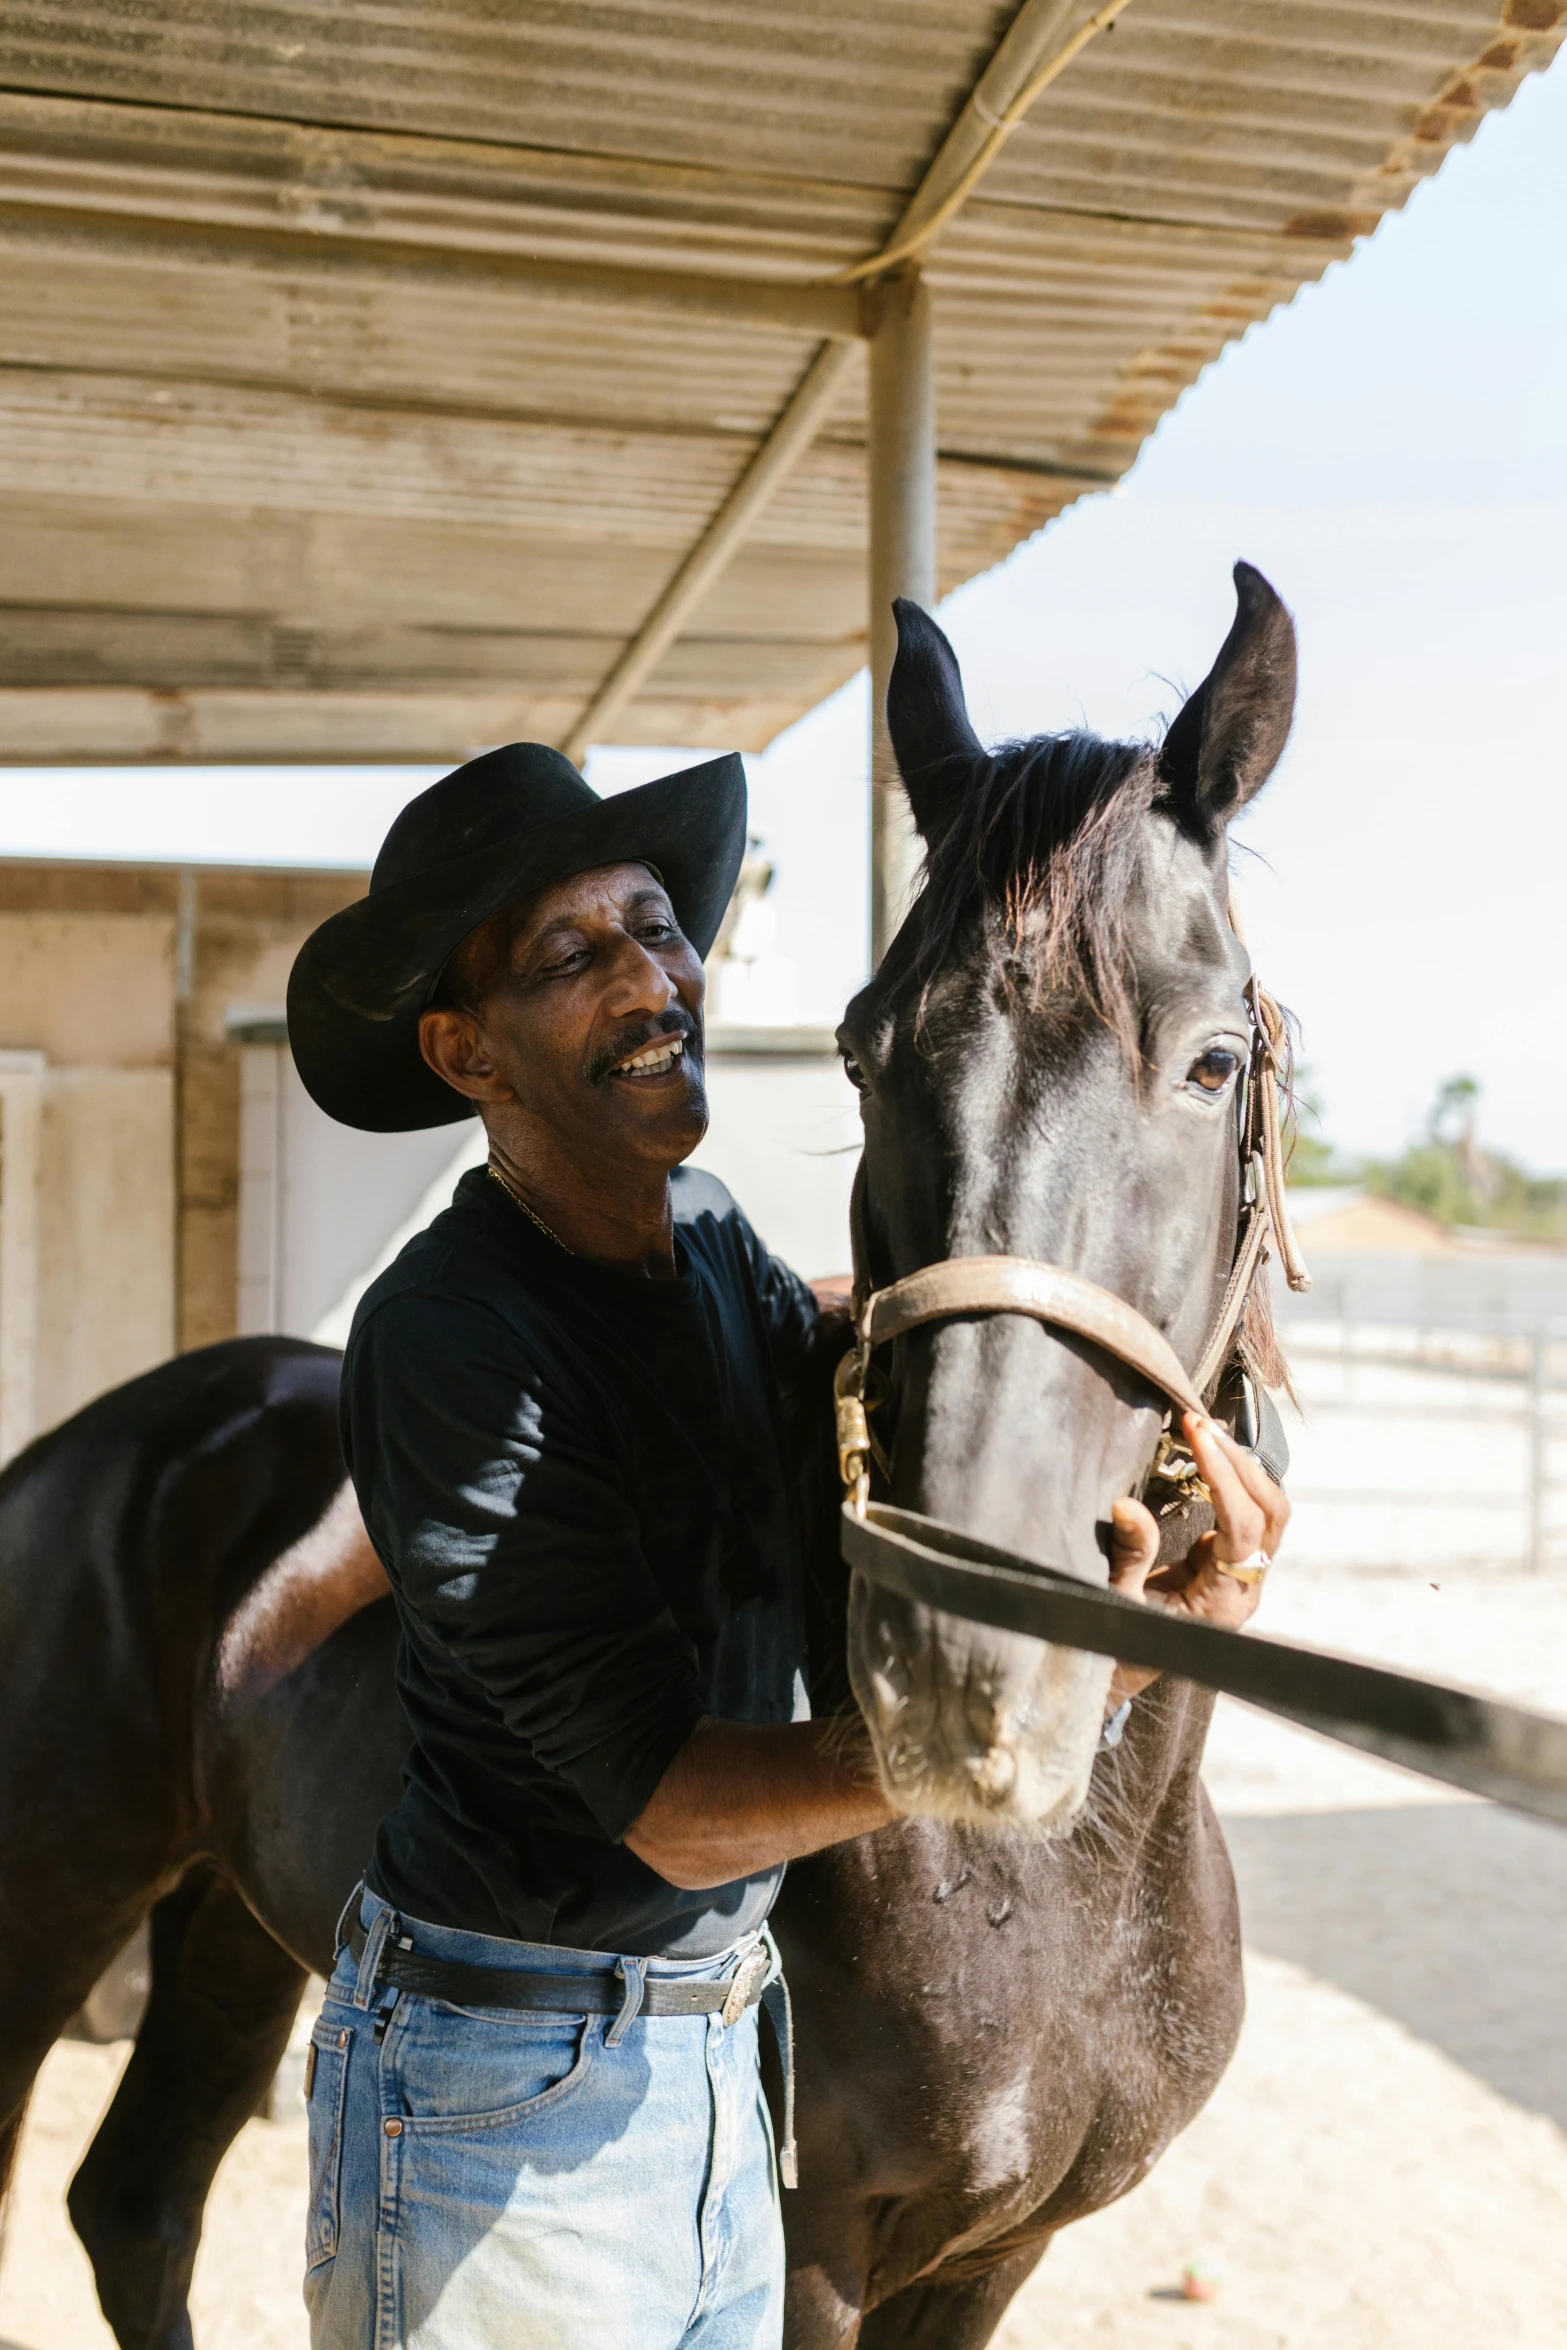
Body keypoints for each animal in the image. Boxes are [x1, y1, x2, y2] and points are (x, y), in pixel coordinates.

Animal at [0, 573, 1296, 2350]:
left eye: (1210, 1059)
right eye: (861, 1055)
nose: (966, 1670)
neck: (1055, 1875)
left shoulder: (995, 2256)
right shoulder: (811, 2251)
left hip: (228, 1925)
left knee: (135, 2205)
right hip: (52, 1902)